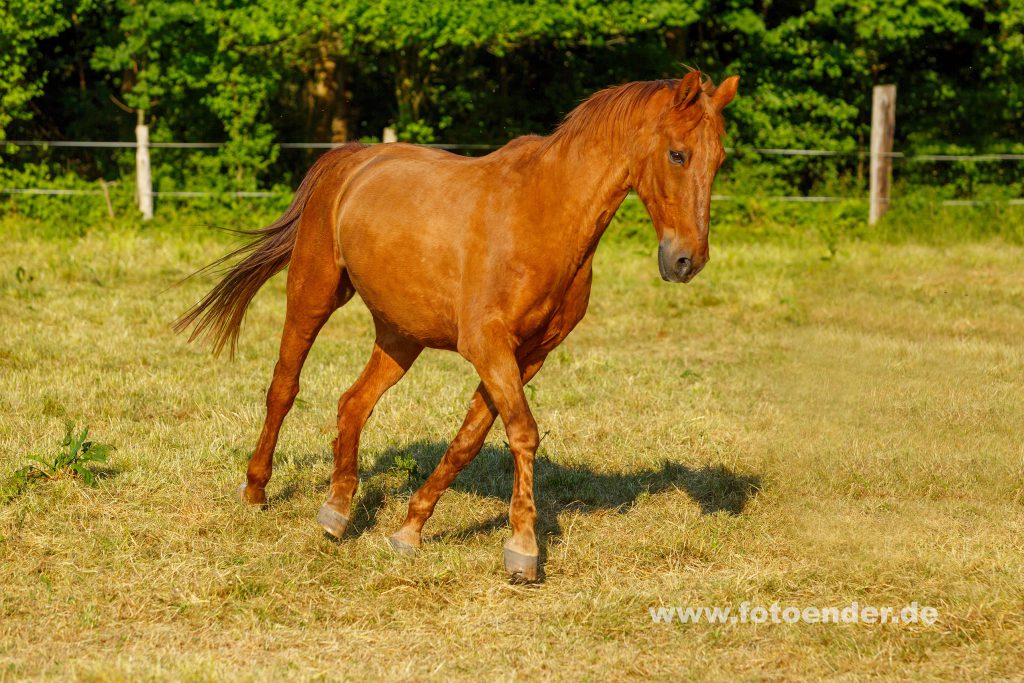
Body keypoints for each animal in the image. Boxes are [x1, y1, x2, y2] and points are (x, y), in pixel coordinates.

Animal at [176, 70, 737, 581]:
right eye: (678, 155)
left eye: (719, 160)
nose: (687, 261)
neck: (544, 215)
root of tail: (351, 159)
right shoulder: (487, 345)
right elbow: (523, 432)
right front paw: (523, 548)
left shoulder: (527, 355)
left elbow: (471, 438)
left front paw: (409, 531)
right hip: (312, 295)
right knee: (284, 388)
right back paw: (255, 490)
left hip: (401, 334)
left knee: (353, 403)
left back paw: (337, 511)